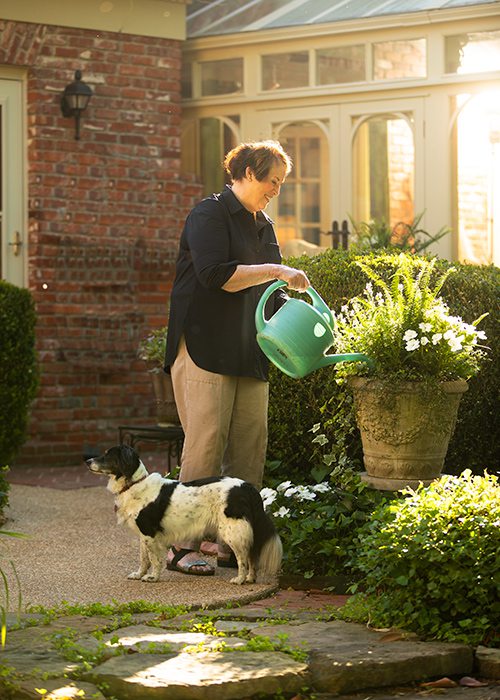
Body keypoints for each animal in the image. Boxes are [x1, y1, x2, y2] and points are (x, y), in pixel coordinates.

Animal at [86, 442, 282, 584]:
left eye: (107, 455)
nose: (87, 461)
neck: (134, 483)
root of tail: (247, 487)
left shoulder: (150, 533)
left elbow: (154, 559)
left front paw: (152, 577)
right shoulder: (144, 534)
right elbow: (144, 558)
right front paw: (138, 574)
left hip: (232, 530)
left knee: (243, 557)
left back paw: (240, 579)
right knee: (252, 556)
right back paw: (250, 578)